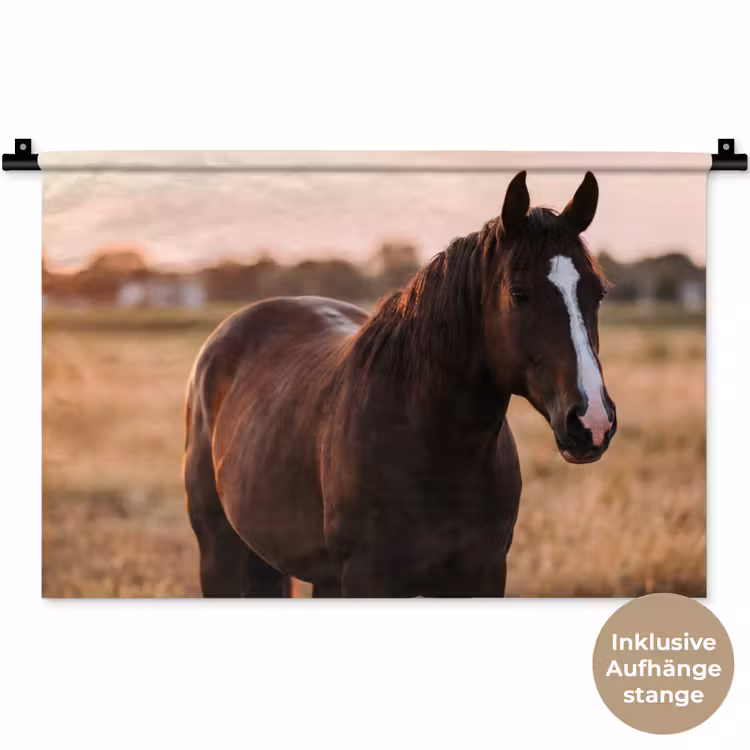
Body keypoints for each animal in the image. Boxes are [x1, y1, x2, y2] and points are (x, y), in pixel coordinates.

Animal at [183, 170, 617, 597]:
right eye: (519, 293)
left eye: (598, 292)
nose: (592, 421)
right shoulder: (367, 578)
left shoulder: (484, 574)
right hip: (219, 551)